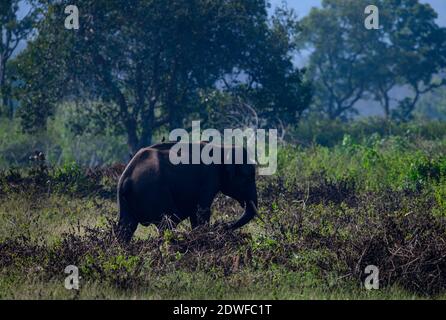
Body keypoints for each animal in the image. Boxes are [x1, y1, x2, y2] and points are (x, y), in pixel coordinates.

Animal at [116, 141, 258, 241]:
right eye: (249, 177)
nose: (220, 226)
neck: (223, 147)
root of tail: (126, 179)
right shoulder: (209, 177)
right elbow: (202, 212)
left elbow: (195, 214)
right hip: (154, 193)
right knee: (166, 224)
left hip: (126, 202)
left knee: (126, 227)